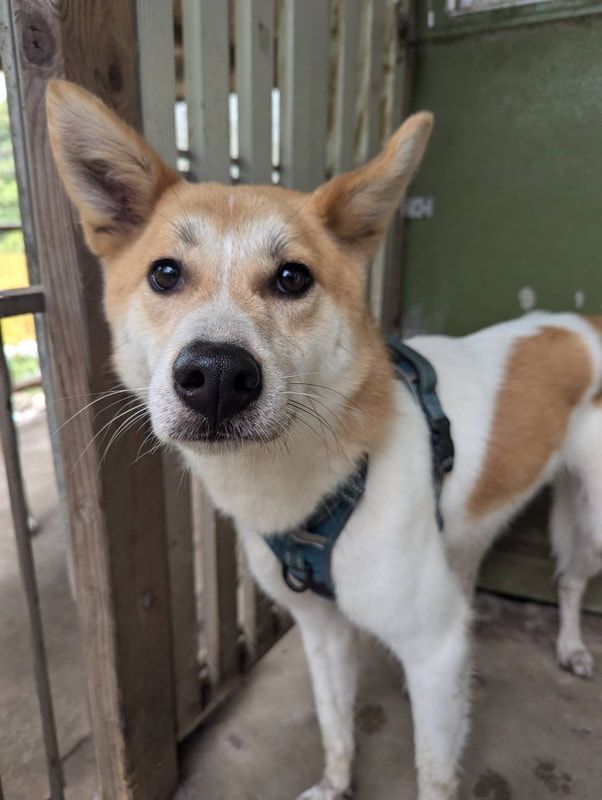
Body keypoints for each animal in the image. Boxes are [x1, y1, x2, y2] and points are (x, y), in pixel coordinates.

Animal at [45, 81, 600, 800]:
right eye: (165, 274)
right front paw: (335, 785)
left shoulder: (434, 646)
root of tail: (586, 324)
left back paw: (571, 648)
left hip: (591, 521)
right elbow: (336, 725)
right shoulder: (322, 629)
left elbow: (433, 770)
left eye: (292, 278)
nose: (216, 376)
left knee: (569, 583)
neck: (305, 481)